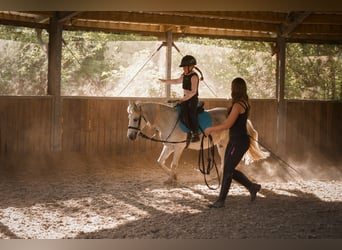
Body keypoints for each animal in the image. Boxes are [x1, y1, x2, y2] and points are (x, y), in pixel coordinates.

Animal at [127, 100, 268, 185]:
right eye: (129, 117)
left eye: (135, 119)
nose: (130, 136)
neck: (169, 120)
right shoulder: (169, 146)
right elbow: (160, 162)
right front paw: (172, 177)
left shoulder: (178, 148)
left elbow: (173, 164)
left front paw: (172, 179)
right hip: (221, 144)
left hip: (226, 144)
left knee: (226, 160)